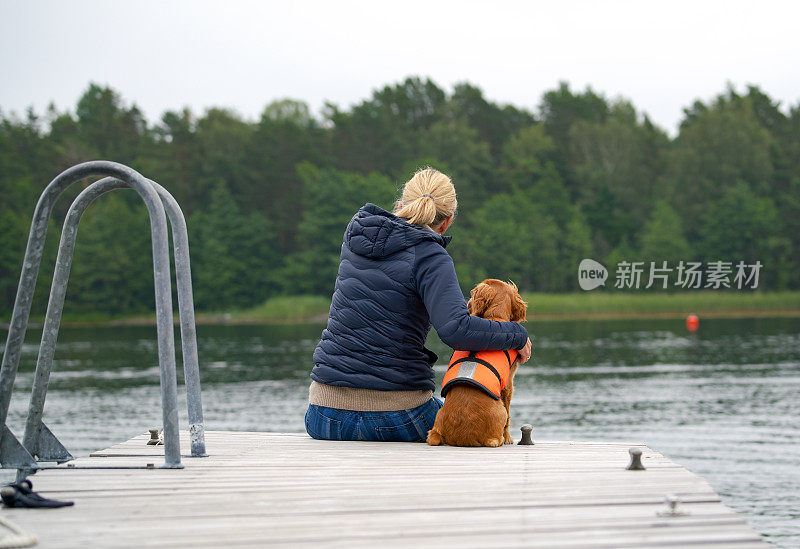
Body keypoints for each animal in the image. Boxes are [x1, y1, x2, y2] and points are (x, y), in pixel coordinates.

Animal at [428, 278, 528, 446]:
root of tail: (465, 437)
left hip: (437, 419)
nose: (467, 302)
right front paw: (508, 437)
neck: (495, 317)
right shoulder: (508, 384)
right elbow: (509, 417)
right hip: (500, 410)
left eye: (472, 293)